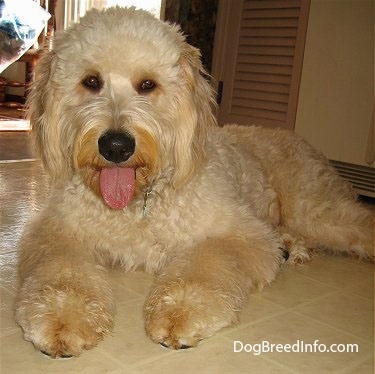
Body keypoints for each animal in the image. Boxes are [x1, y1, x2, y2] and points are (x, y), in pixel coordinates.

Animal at [13, 5, 374, 356]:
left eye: (147, 85)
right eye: (91, 80)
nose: (115, 146)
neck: (139, 203)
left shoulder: (236, 234)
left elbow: (203, 266)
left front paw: (179, 313)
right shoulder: (58, 233)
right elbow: (62, 273)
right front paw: (62, 317)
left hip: (319, 213)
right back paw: (291, 248)